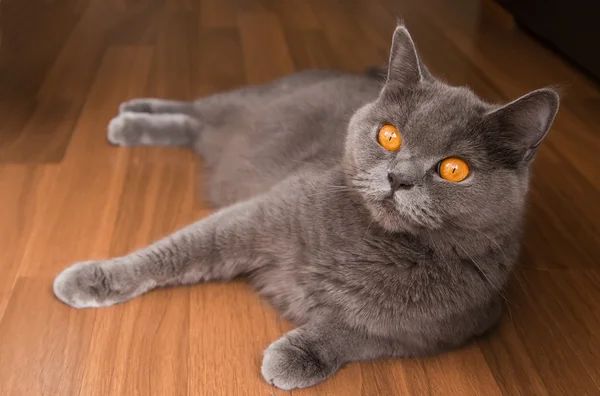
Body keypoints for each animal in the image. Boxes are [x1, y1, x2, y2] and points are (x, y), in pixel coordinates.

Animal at [54, 24, 560, 390]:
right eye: (389, 135)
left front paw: (295, 356)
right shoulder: (259, 215)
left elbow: (361, 332)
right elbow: (179, 249)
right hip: (247, 102)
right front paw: (94, 279)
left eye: (454, 169)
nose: (399, 177)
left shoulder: (454, 325)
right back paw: (129, 116)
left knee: (196, 126)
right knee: (196, 108)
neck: (374, 243)